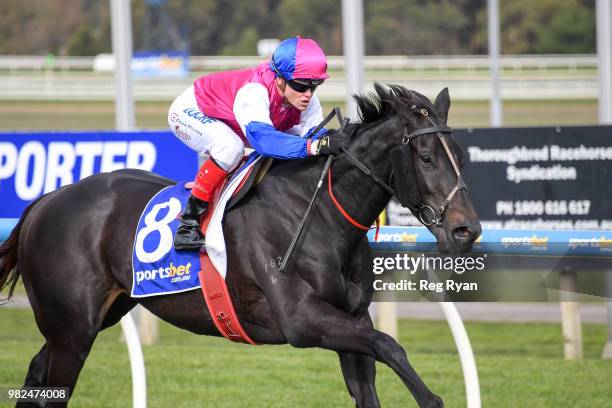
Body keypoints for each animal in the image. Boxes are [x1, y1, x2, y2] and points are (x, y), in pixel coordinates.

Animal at [0, 84, 478, 406]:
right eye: (427, 158)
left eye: (461, 154)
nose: (466, 229)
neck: (318, 210)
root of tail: (46, 200)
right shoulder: (301, 320)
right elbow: (388, 344)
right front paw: (432, 398)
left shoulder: (351, 317)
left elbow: (372, 368)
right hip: (73, 328)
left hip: (94, 317)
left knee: (38, 375)